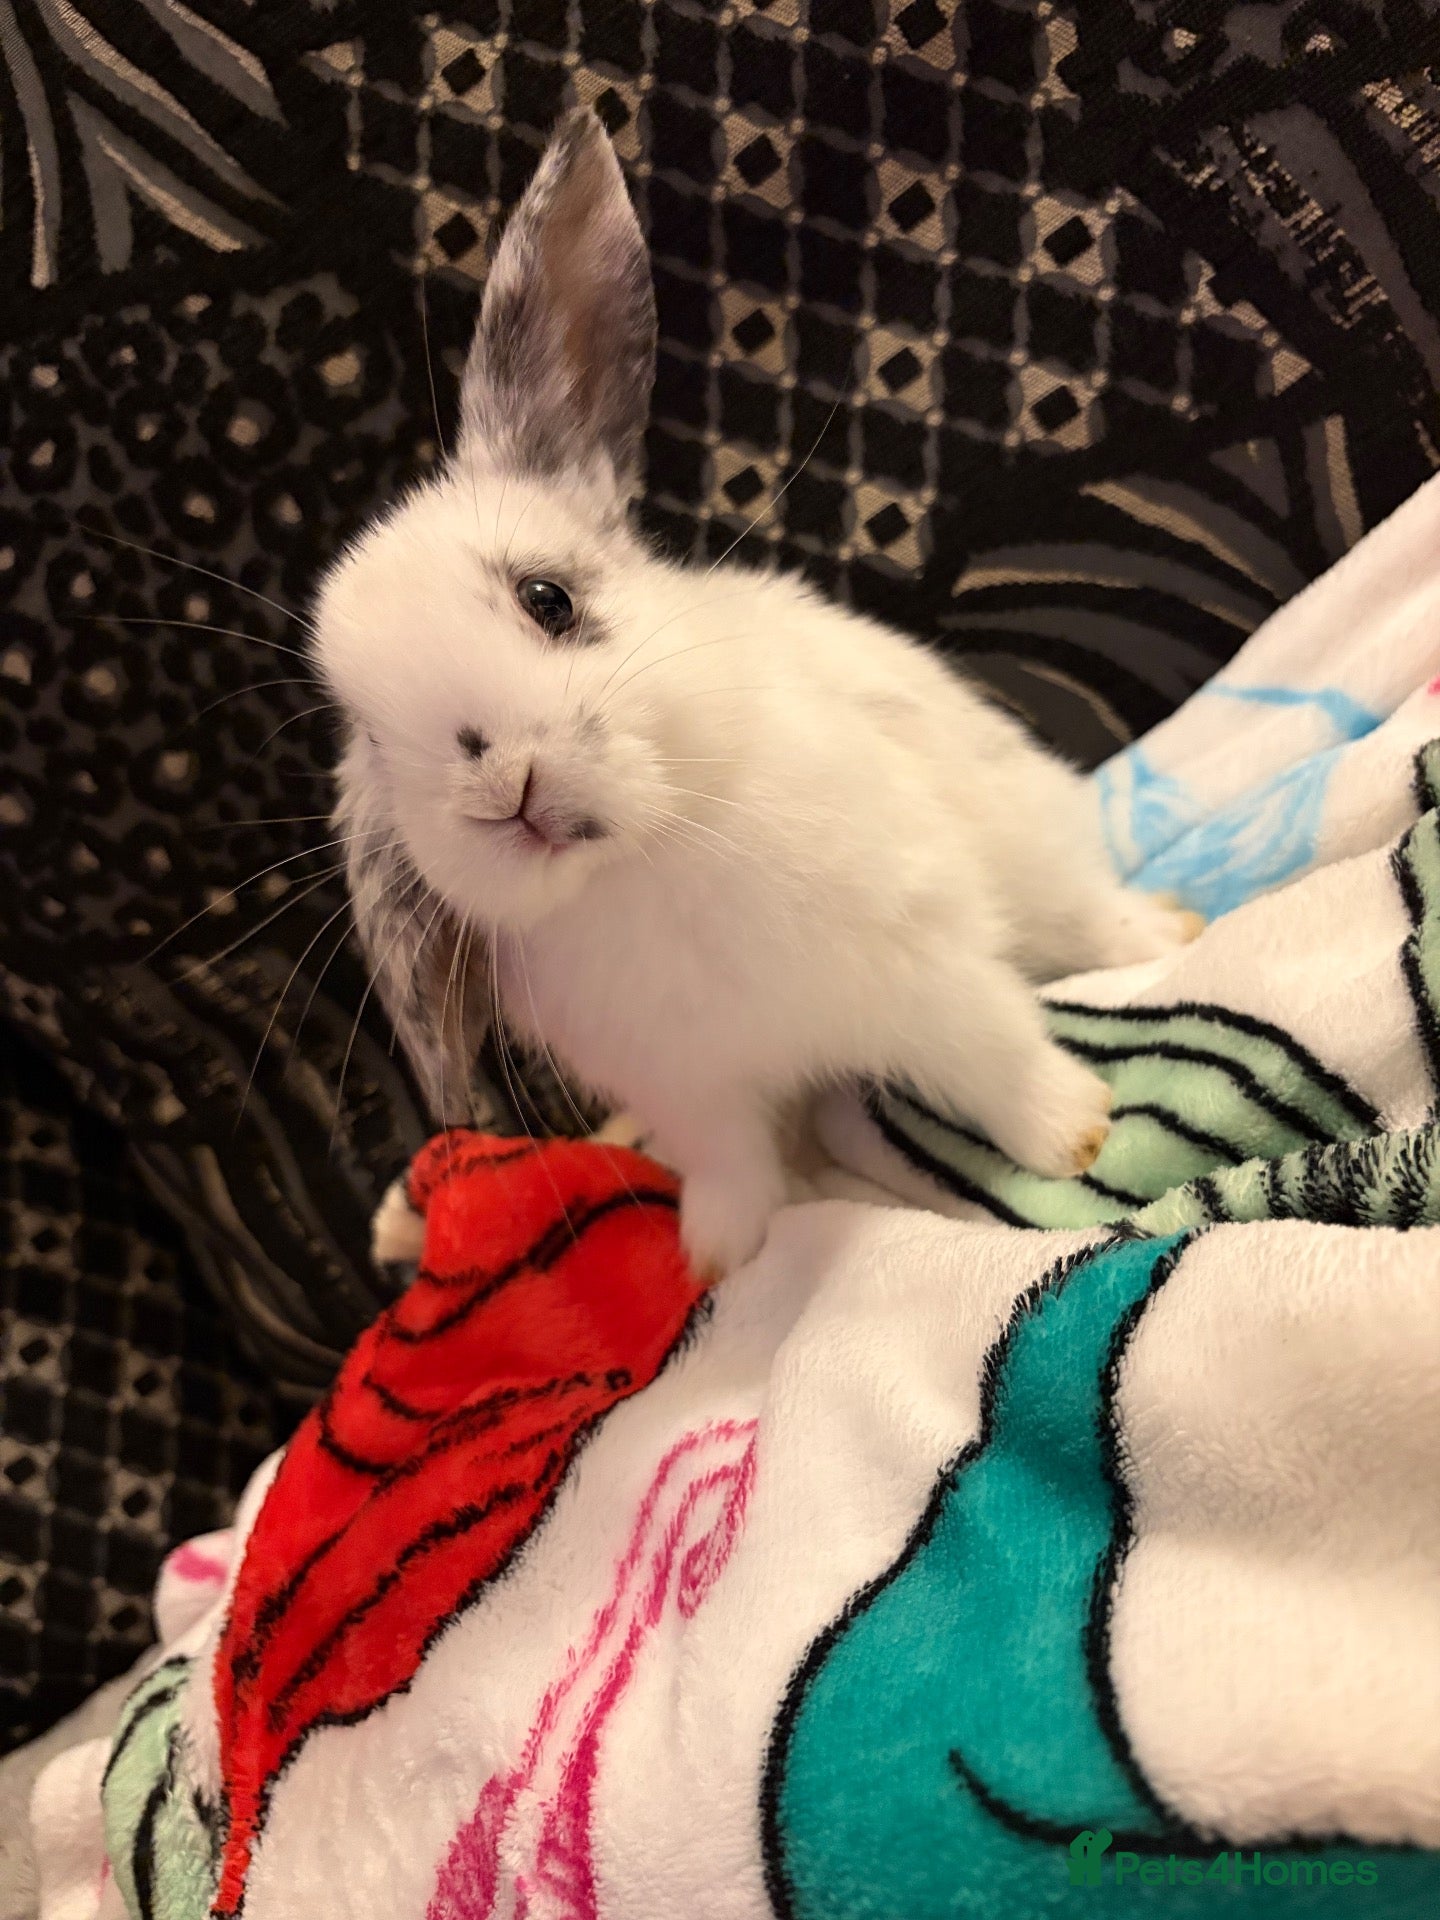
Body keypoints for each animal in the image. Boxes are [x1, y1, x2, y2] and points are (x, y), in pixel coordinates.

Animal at [314, 109, 1200, 1279]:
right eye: (372, 742)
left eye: (547, 600)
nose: (498, 781)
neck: (642, 864)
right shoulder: (695, 1091)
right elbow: (730, 1162)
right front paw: (723, 1256)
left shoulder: (923, 960)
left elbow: (988, 1053)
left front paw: (1073, 1134)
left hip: (1028, 842)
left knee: (1085, 913)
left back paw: (1165, 934)